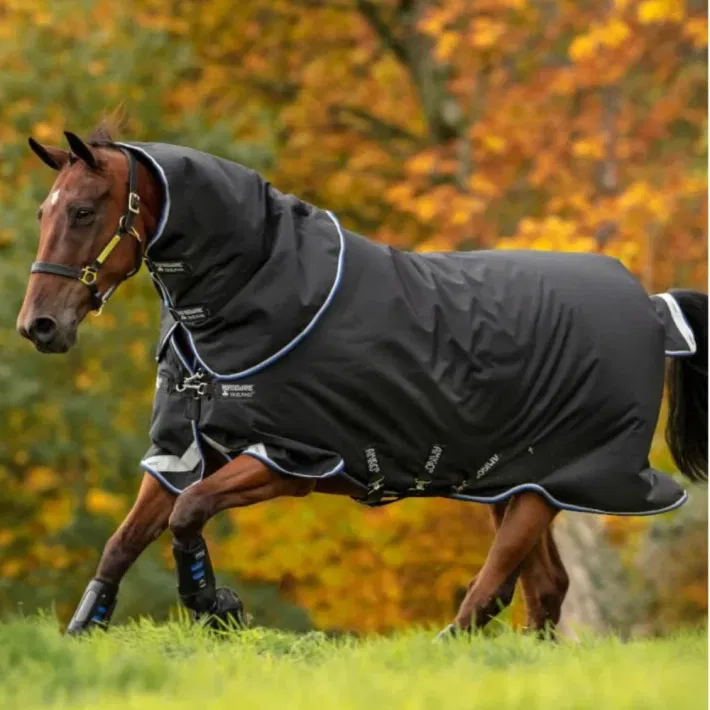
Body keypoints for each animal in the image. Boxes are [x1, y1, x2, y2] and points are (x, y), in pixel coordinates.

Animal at [17, 125, 708, 638]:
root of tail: (652, 307)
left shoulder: (290, 460)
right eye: (44, 210)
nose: (38, 325)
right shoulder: (183, 450)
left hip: (557, 480)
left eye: (83, 211)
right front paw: (88, 624)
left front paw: (219, 607)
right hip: (514, 480)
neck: (254, 294)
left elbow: (188, 514)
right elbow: (124, 540)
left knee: (492, 589)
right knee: (543, 588)